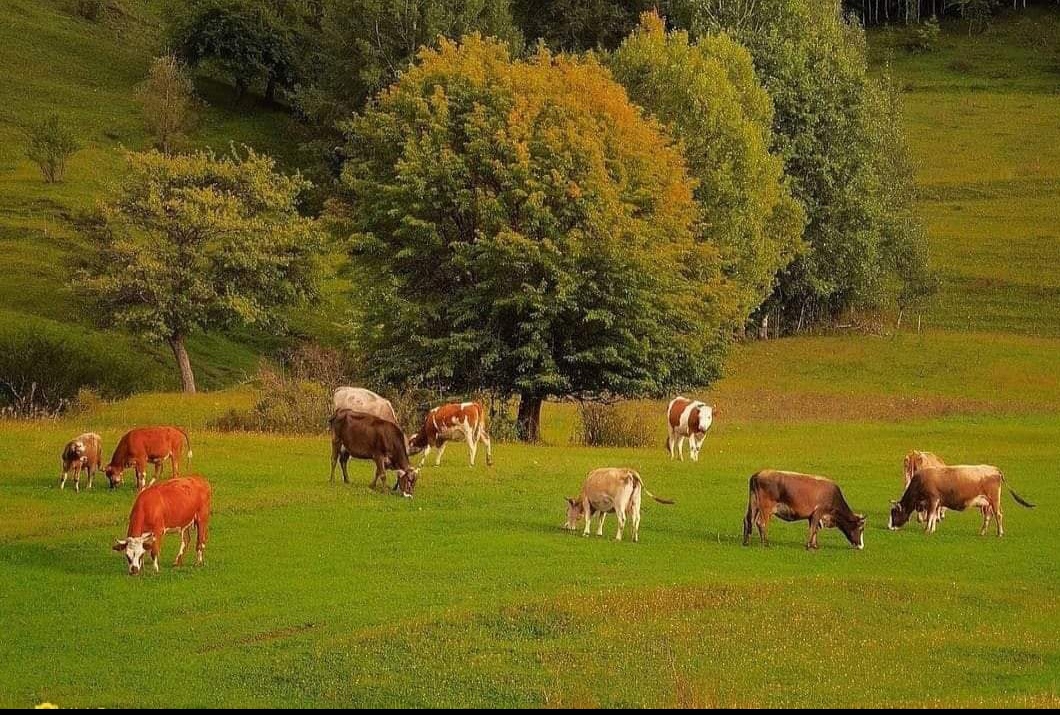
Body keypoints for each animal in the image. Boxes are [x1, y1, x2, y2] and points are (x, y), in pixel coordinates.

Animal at [886, 463, 1034, 538]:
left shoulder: (933, 499)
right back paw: (982, 532)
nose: (889, 527)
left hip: (994, 499)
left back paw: (1000, 533)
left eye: (894, 513)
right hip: (987, 503)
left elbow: (930, 516)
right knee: (988, 516)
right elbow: (933, 516)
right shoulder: (936, 502)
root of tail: (994, 469)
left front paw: (927, 530)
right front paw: (932, 529)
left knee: (998, 514)